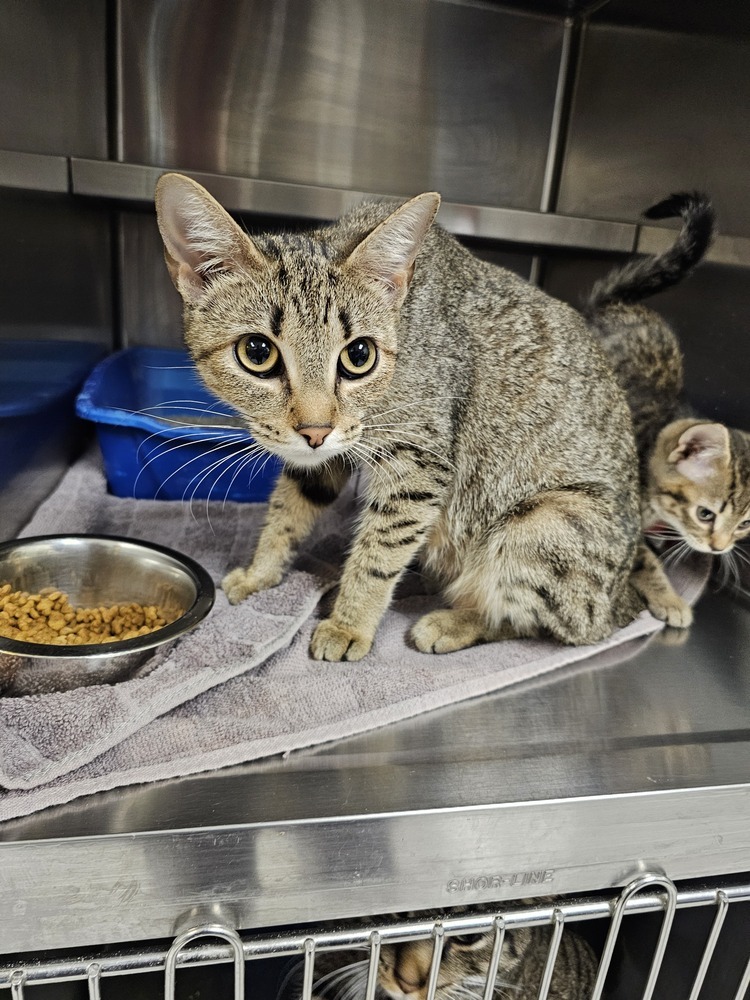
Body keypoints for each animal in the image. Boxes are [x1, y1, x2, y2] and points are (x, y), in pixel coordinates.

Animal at [156, 173, 644, 660]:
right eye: (257, 352)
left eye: (359, 355)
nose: (315, 431)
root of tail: (621, 598)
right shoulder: (329, 450)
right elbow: (290, 507)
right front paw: (262, 570)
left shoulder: (418, 462)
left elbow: (380, 550)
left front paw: (350, 623)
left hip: (545, 523)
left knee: (555, 623)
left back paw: (454, 621)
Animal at [588, 189, 750, 624]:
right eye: (705, 514)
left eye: (745, 524)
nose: (719, 548)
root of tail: (623, 305)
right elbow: (642, 560)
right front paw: (670, 598)